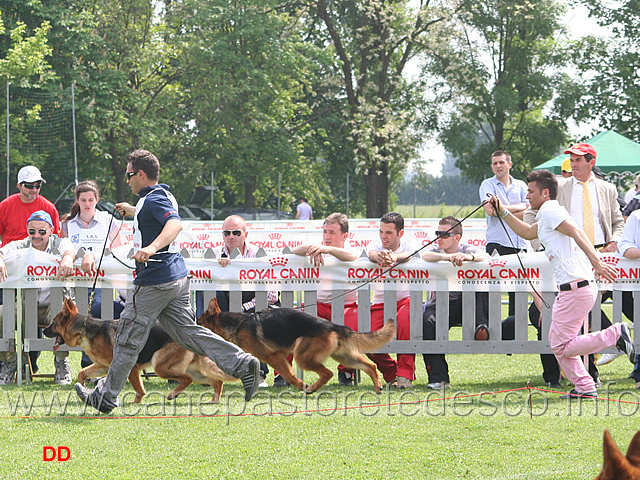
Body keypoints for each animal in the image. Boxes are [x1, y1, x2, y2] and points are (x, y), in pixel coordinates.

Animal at [43, 298, 236, 404]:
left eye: (53, 323)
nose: (43, 330)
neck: (84, 330)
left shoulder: (130, 368)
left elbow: (139, 388)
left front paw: (135, 402)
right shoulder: (102, 366)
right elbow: (82, 373)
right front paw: (82, 387)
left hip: (161, 366)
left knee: (187, 379)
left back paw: (173, 394)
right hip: (194, 372)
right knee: (216, 381)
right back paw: (214, 399)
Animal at [196, 298, 396, 396]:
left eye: (198, 321)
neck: (237, 324)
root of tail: (333, 325)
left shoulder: (274, 357)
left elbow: (289, 376)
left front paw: (301, 385)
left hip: (302, 357)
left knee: (327, 373)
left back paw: (311, 388)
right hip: (344, 357)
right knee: (371, 366)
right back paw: (378, 387)